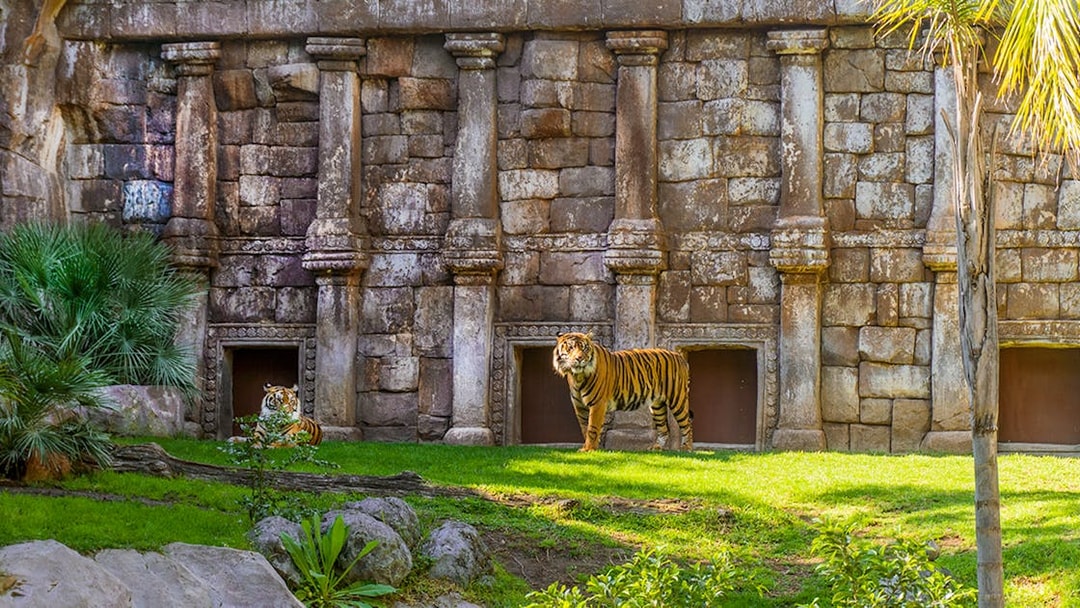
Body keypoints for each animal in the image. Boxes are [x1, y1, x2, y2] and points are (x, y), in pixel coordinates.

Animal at [552, 332, 693, 452]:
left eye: (585, 348)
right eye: (570, 348)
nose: (579, 358)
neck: (577, 376)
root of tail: (679, 356)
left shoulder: (597, 403)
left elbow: (592, 428)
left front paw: (588, 449)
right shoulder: (579, 406)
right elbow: (584, 427)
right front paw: (589, 447)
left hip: (677, 399)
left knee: (687, 424)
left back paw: (686, 448)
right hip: (657, 405)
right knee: (663, 429)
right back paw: (656, 448)